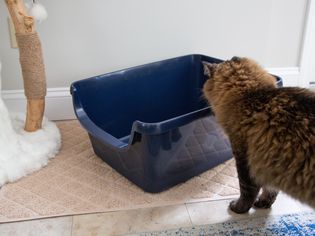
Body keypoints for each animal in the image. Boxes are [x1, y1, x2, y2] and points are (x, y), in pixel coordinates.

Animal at [202, 56, 315, 214]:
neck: (252, 95)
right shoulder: (271, 164)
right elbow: (271, 189)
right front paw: (264, 203)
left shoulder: (244, 157)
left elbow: (247, 190)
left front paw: (239, 208)